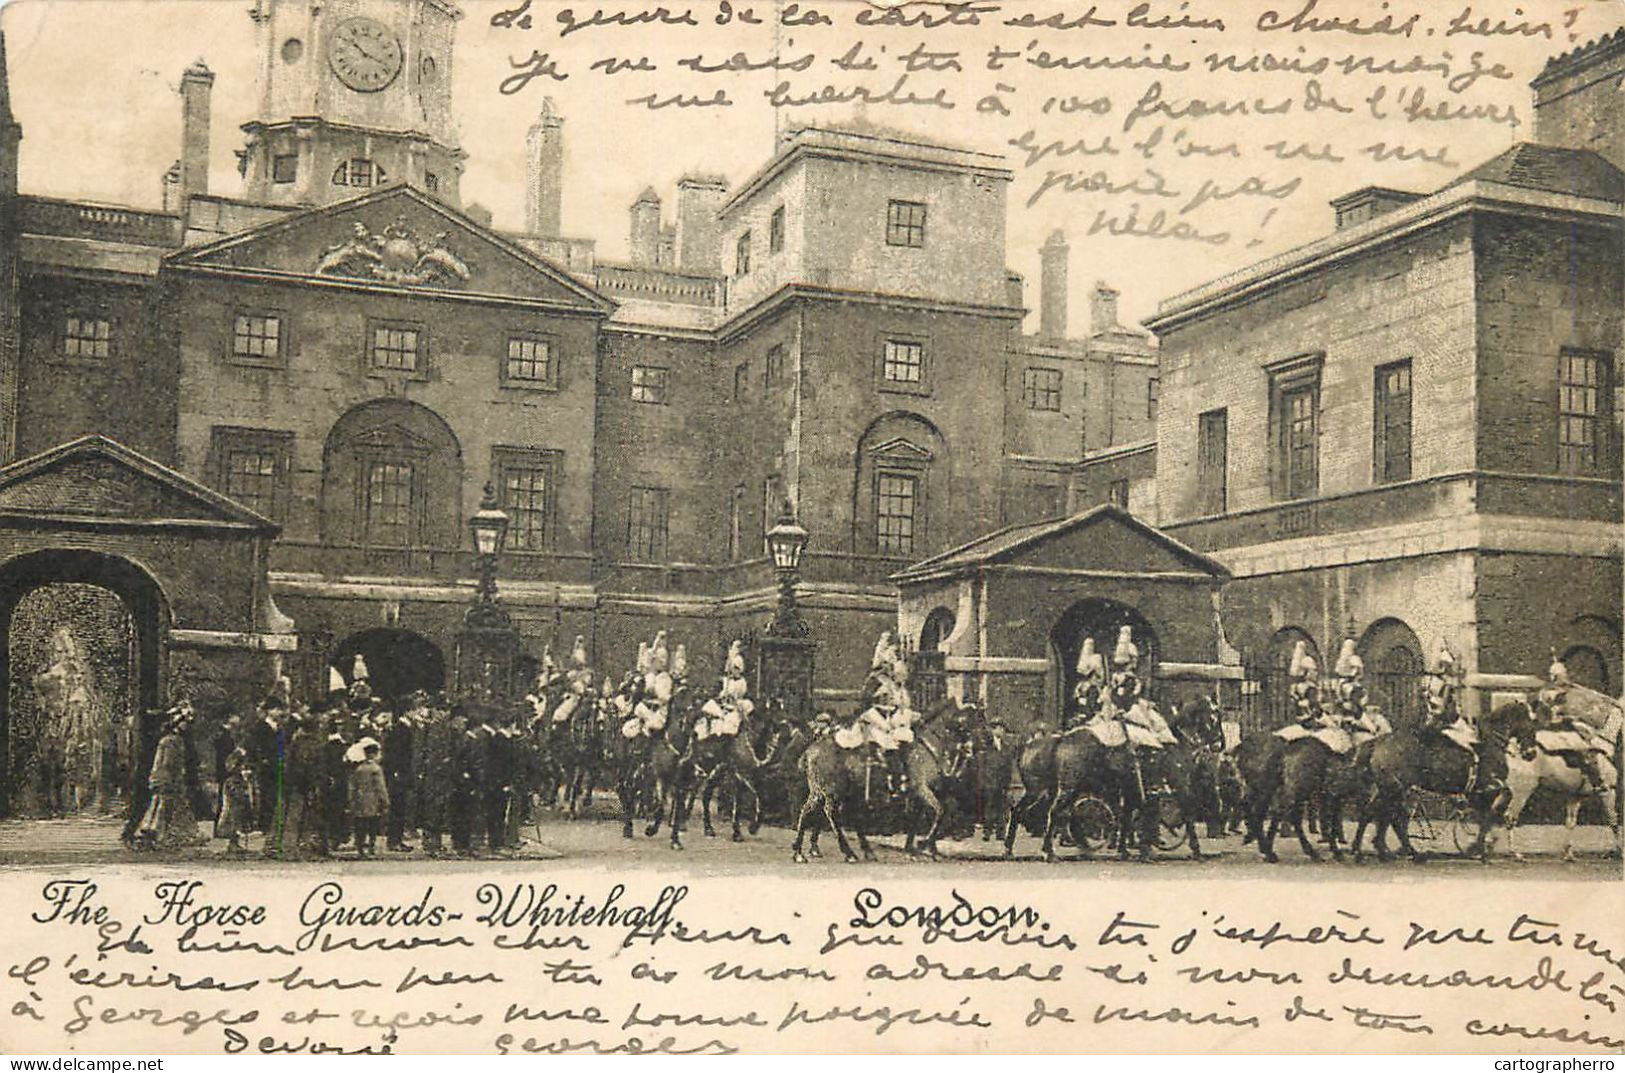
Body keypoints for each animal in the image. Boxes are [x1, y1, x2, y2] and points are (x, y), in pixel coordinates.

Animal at [1345, 705, 1534, 864]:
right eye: (1531, 725)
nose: (1531, 753)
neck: (1489, 743)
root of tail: (1378, 742)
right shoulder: (1489, 787)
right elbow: (1491, 814)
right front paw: (1481, 850)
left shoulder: (1480, 792)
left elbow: (1487, 816)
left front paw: (1478, 847)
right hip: (1394, 789)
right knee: (1383, 816)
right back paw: (1371, 852)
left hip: (1392, 789)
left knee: (1384, 816)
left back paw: (1386, 852)